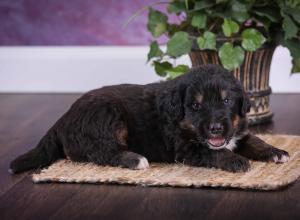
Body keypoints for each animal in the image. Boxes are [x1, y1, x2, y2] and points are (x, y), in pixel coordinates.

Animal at [9, 64, 290, 173]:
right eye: (195, 106)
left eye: (226, 101)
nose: (215, 129)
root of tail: (63, 118)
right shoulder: (185, 148)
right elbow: (215, 152)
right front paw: (236, 160)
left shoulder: (237, 130)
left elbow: (254, 140)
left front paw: (276, 152)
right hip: (108, 116)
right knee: (100, 152)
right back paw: (135, 159)